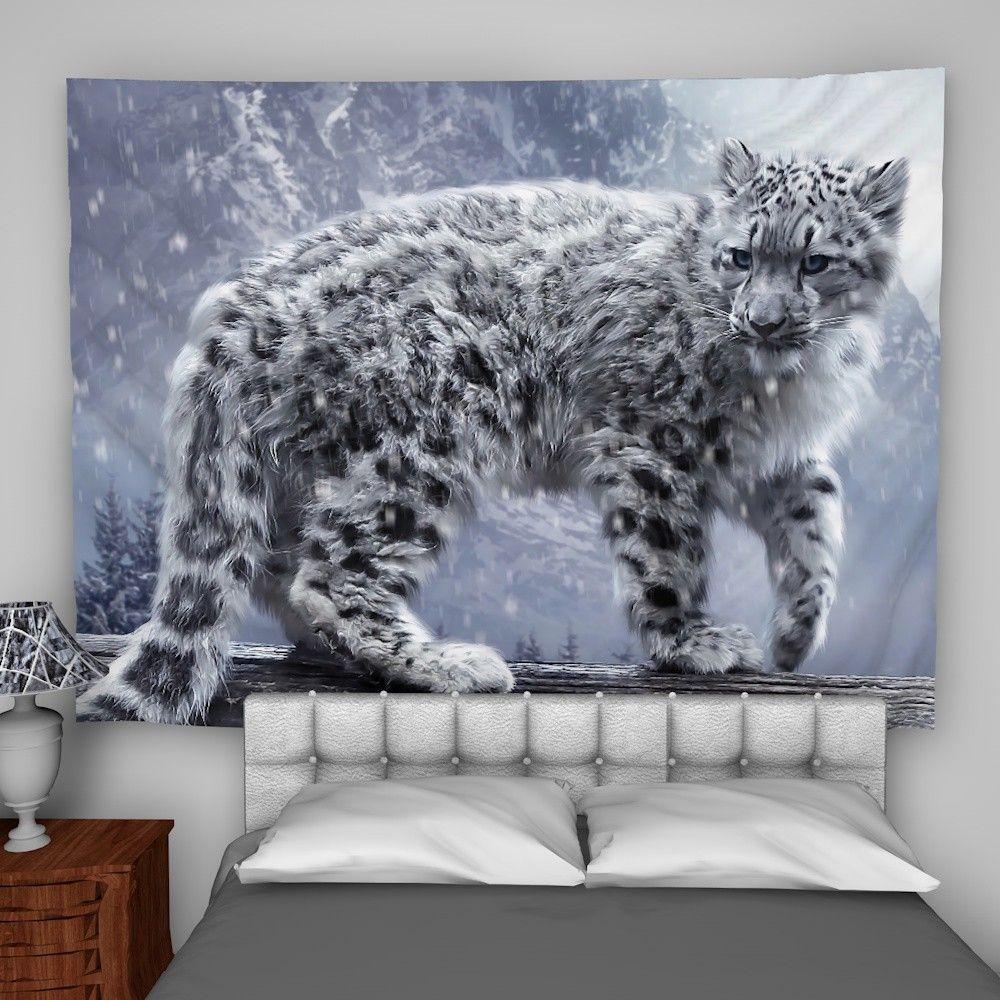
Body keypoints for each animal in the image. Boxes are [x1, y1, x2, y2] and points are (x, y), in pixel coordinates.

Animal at [79, 139, 908, 723]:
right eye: (740, 256)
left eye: (816, 261)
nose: (763, 320)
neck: (786, 382)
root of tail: (233, 317)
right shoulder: (654, 440)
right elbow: (668, 550)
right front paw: (694, 642)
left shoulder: (767, 455)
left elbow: (815, 514)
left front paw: (798, 631)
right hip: (427, 441)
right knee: (328, 570)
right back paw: (447, 663)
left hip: (304, 463)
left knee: (277, 561)